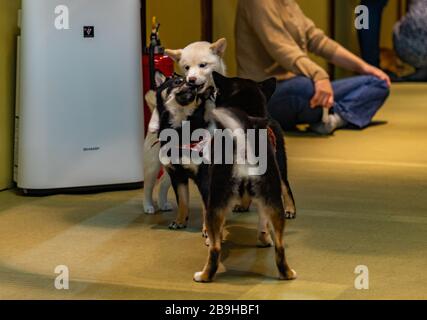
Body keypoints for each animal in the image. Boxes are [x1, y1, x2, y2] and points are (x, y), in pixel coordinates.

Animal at [143, 38, 227, 214]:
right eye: (186, 67)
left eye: (203, 65)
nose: (191, 80)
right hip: (153, 166)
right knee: (148, 187)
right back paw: (148, 205)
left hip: (172, 166)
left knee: (163, 184)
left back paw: (163, 203)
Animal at [195, 73, 298, 282]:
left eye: (217, 92)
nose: (211, 91)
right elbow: (262, 224)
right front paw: (264, 238)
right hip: (272, 196)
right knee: (280, 246)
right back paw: (287, 273)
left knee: (215, 250)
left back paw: (204, 275)